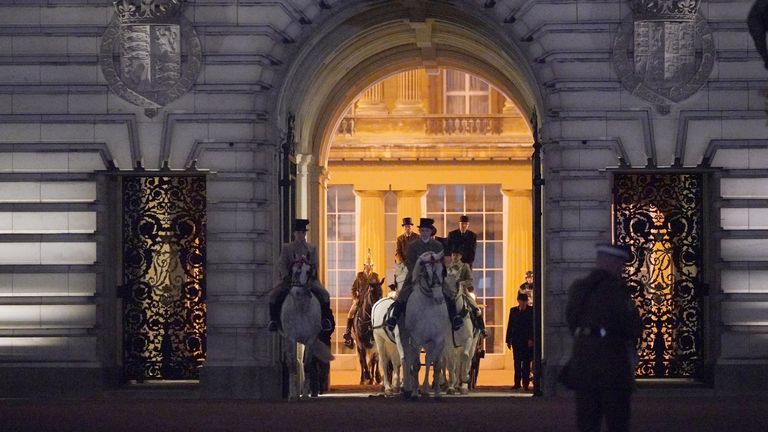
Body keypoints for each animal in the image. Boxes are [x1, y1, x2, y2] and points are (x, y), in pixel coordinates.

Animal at [280, 255, 332, 400]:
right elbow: (292, 364)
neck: (301, 308)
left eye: (308, 272)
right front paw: (293, 395)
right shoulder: (291, 338)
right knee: (289, 362)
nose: (297, 292)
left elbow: (307, 365)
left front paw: (304, 395)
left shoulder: (311, 339)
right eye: (293, 271)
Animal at [400, 251, 452, 400]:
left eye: (442, 271)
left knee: (429, 360)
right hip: (408, 339)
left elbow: (437, 365)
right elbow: (416, 365)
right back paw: (411, 389)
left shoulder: (439, 340)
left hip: (431, 343)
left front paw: (437, 393)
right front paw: (415, 392)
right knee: (407, 359)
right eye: (427, 273)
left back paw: (426, 389)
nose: (439, 298)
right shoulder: (416, 340)